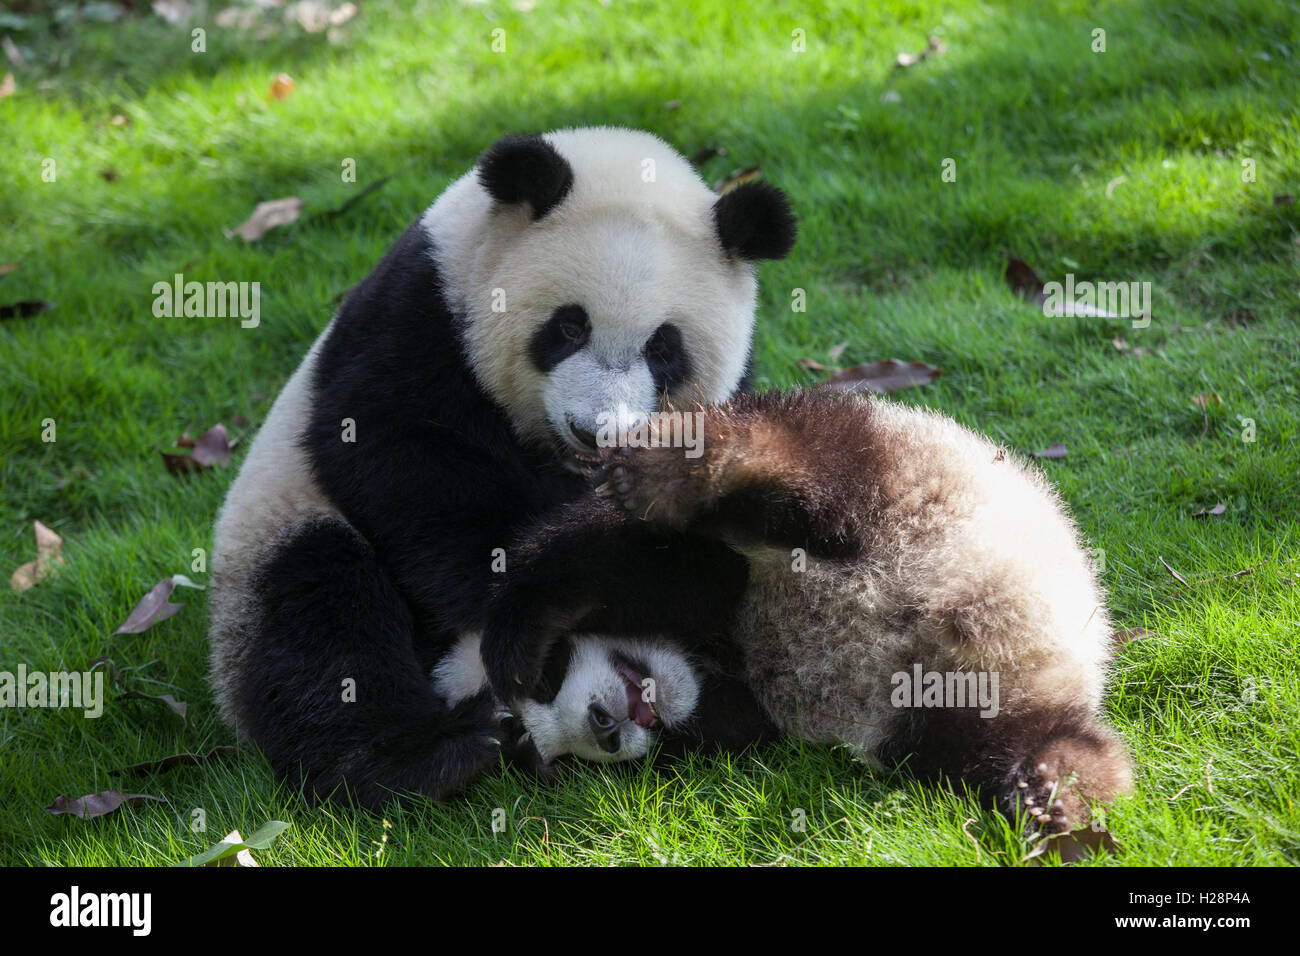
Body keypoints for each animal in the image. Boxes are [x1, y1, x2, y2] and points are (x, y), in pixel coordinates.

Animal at [209, 123, 790, 806]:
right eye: (567, 328)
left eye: (663, 348)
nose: (596, 432)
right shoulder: (422, 314)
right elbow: (397, 452)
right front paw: (509, 596)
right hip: (266, 538)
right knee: (317, 619)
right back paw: (421, 756)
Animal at [483, 392, 1133, 832]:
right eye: (578, 762)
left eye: (555, 676)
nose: (606, 726)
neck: (708, 650)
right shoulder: (731, 697)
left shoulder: (701, 563)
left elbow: (581, 562)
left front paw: (517, 650)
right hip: (948, 712)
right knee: (1028, 741)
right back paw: (1059, 797)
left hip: (899, 484)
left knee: (803, 474)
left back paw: (673, 470)